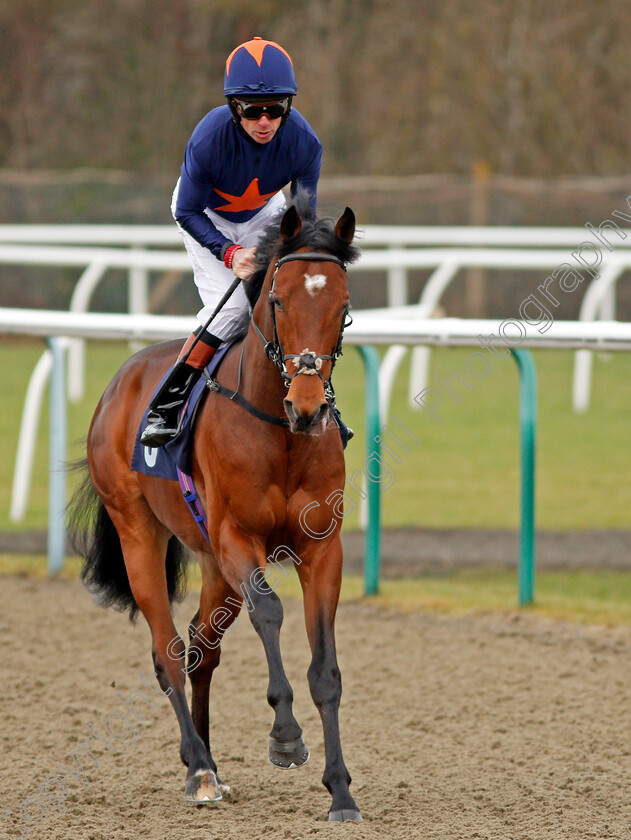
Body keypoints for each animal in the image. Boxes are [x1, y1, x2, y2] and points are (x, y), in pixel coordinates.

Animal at [68, 195, 360, 820]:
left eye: (343, 308)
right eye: (278, 299)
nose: (306, 407)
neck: (279, 433)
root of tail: (120, 380)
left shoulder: (323, 548)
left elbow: (325, 668)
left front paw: (341, 790)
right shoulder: (236, 538)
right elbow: (269, 611)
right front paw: (285, 738)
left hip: (210, 564)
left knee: (202, 648)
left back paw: (209, 764)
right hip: (140, 532)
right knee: (168, 650)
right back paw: (199, 768)